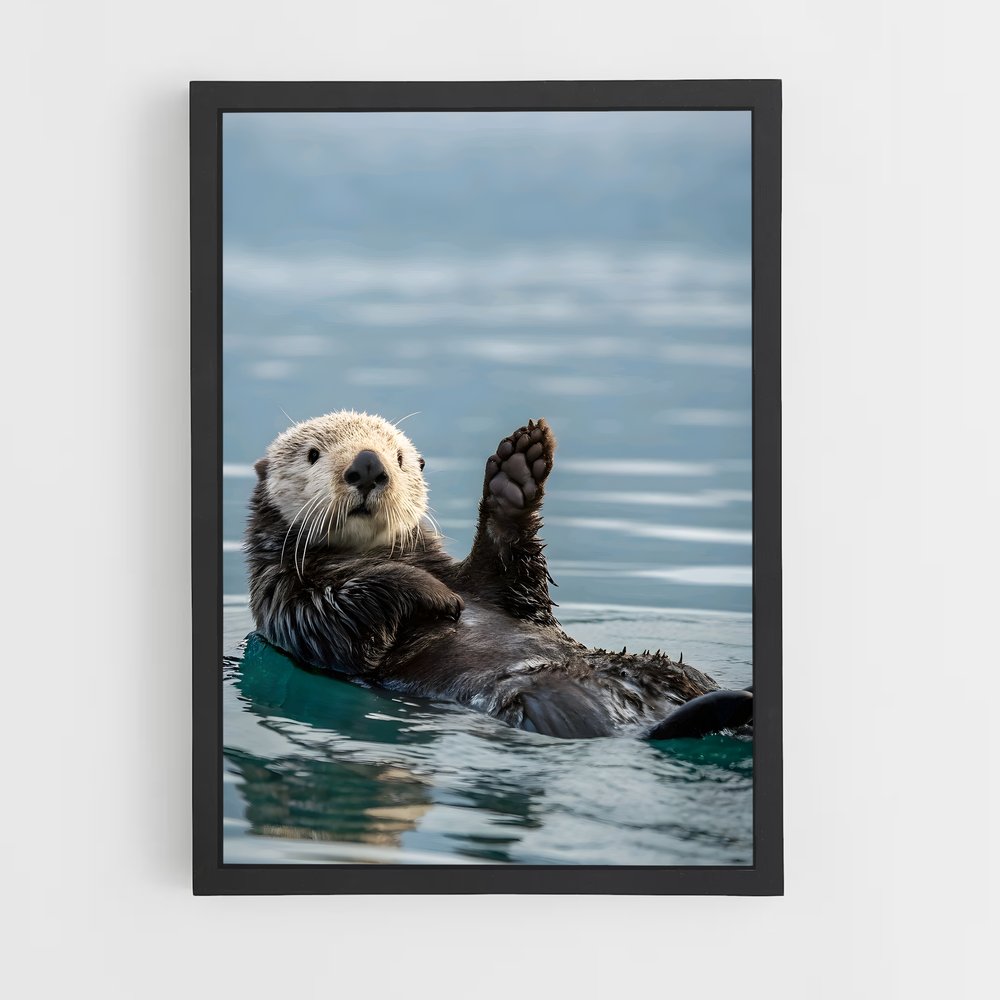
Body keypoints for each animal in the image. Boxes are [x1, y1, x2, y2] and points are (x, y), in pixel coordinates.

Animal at [245, 411, 753, 740]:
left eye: (399, 457)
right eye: (313, 454)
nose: (368, 464)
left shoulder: (495, 588)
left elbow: (512, 581)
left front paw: (515, 476)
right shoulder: (286, 604)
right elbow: (342, 615)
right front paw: (437, 596)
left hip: (673, 665)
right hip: (548, 699)